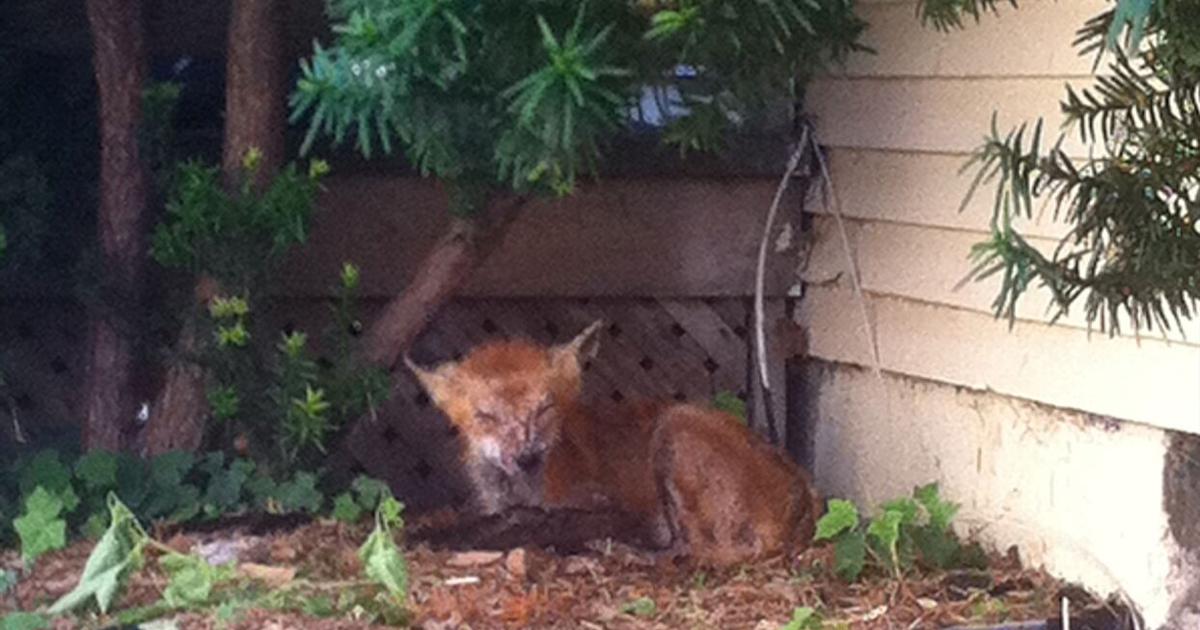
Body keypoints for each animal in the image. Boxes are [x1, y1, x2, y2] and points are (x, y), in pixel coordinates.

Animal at [405, 320, 822, 566]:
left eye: (545, 408)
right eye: (486, 416)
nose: (526, 457)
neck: (520, 489)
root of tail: (807, 491)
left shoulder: (602, 504)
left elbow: (524, 522)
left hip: (674, 427)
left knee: (699, 553)